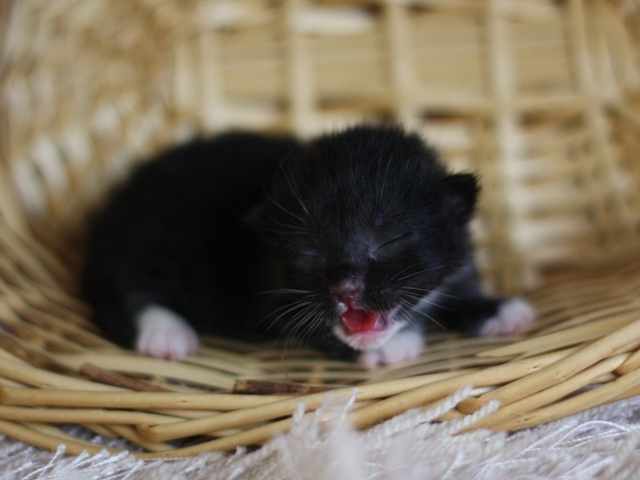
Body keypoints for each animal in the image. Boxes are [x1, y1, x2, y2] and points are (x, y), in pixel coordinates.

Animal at [81, 125, 536, 366]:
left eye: (391, 238)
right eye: (309, 251)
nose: (344, 287)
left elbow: (460, 286)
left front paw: (498, 309)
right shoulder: (276, 297)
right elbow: (314, 330)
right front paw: (397, 345)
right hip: (139, 243)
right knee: (127, 293)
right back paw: (165, 332)